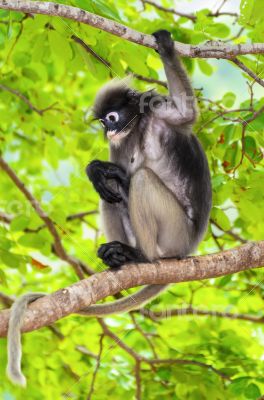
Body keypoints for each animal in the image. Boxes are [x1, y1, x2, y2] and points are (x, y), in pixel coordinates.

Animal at [5, 31, 212, 388]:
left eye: (112, 118)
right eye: (103, 123)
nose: (108, 130)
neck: (139, 128)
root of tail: (190, 249)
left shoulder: (161, 112)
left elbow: (187, 114)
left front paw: (165, 44)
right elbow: (111, 175)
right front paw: (96, 169)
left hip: (176, 236)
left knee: (141, 180)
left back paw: (143, 257)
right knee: (111, 192)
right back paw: (119, 254)